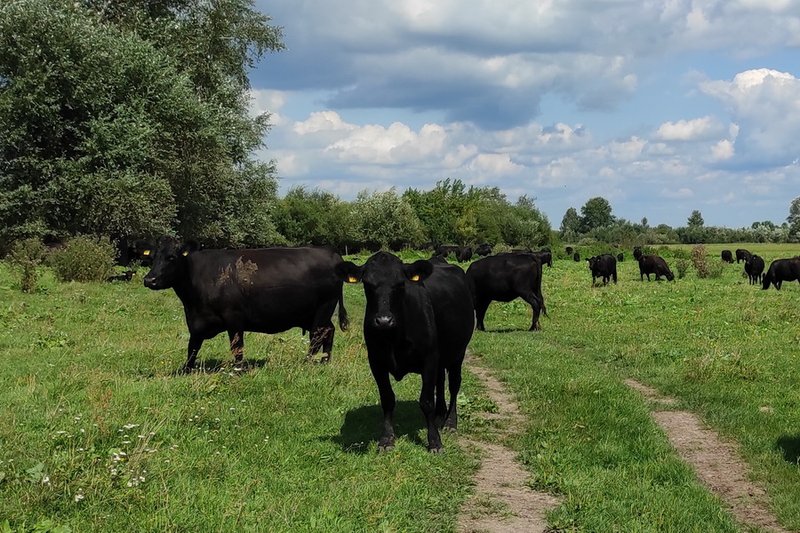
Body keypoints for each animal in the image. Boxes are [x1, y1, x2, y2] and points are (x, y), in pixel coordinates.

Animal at [142, 238, 348, 370]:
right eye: (152, 258)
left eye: (171, 257)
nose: (149, 279)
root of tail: (330, 252)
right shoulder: (196, 323)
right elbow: (192, 348)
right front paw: (186, 370)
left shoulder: (233, 318)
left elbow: (237, 347)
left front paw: (238, 370)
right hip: (313, 314)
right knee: (329, 331)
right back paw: (324, 361)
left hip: (324, 308)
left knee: (317, 335)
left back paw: (308, 362)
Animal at [338, 251, 476, 450]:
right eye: (368, 284)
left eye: (400, 284)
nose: (384, 320)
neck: (394, 338)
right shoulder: (376, 361)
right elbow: (387, 399)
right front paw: (387, 438)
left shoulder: (429, 358)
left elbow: (426, 401)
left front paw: (434, 441)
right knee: (440, 381)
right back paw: (439, 415)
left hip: (458, 352)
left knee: (454, 384)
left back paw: (450, 422)